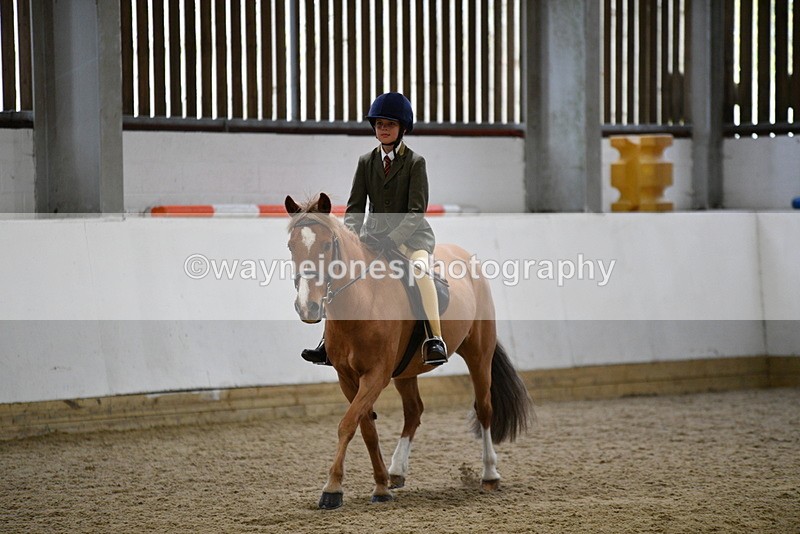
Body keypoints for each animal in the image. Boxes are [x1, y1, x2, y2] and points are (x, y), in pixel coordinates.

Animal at [284, 192, 531, 510]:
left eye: (327, 245)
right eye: (291, 246)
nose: (308, 306)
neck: (363, 301)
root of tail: (468, 258)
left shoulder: (376, 375)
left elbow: (347, 424)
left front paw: (332, 489)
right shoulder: (347, 377)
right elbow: (366, 428)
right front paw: (380, 486)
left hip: (479, 353)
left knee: (484, 408)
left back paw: (489, 474)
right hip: (406, 371)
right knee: (414, 411)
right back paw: (396, 472)